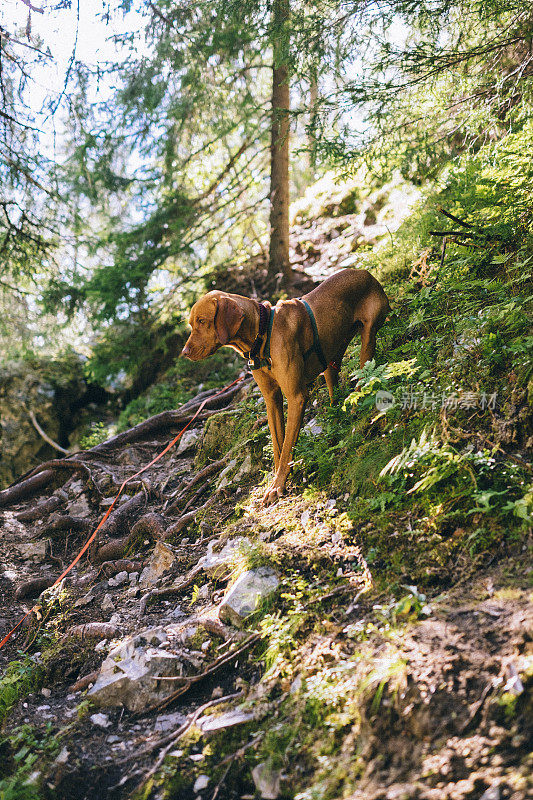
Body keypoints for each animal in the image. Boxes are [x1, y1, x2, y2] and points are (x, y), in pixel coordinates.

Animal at [181, 268, 388, 506]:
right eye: (192, 323)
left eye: (202, 321)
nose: (184, 353)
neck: (261, 335)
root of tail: (365, 272)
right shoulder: (272, 400)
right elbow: (278, 446)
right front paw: (276, 480)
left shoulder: (296, 396)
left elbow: (288, 446)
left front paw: (277, 485)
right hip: (331, 359)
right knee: (334, 391)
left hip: (368, 337)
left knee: (365, 375)